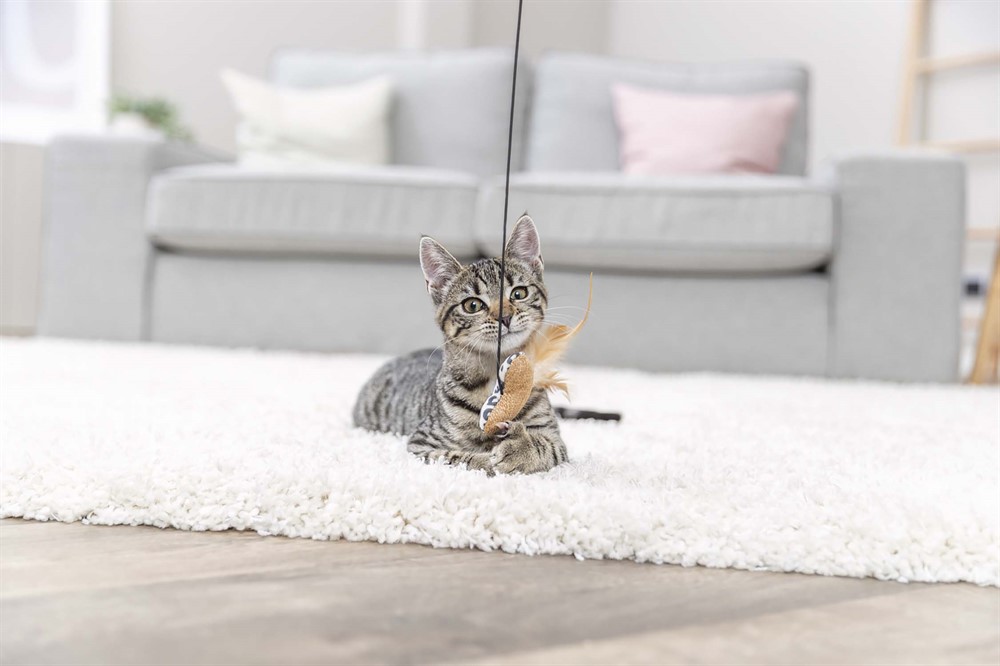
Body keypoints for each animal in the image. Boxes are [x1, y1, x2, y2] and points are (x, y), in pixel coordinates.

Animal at [352, 215, 567, 475]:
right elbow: (458, 457)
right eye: (472, 305)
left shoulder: (555, 439)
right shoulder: (421, 444)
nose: (505, 317)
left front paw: (520, 448)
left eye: (519, 293)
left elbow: (546, 448)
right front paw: (487, 460)